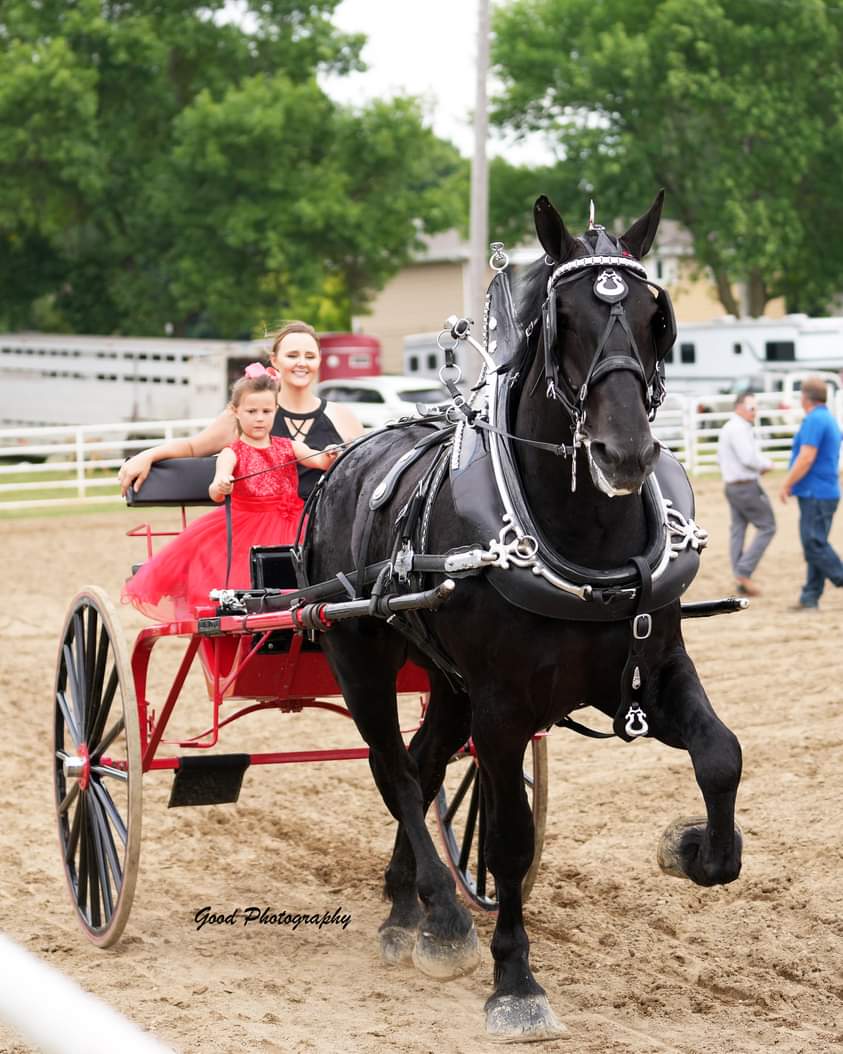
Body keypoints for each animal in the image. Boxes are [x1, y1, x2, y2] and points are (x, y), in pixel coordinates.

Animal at [306, 192, 743, 1041]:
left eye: (656, 316)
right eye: (561, 318)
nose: (624, 453)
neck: (584, 538)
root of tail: (343, 463)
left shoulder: (652, 672)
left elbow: (720, 756)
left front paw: (690, 847)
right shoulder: (503, 708)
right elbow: (510, 839)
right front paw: (515, 983)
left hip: (447, 682)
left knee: (423, 762)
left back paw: (405, 906)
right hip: (360, 654)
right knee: (393, 769)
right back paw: (443, 916)